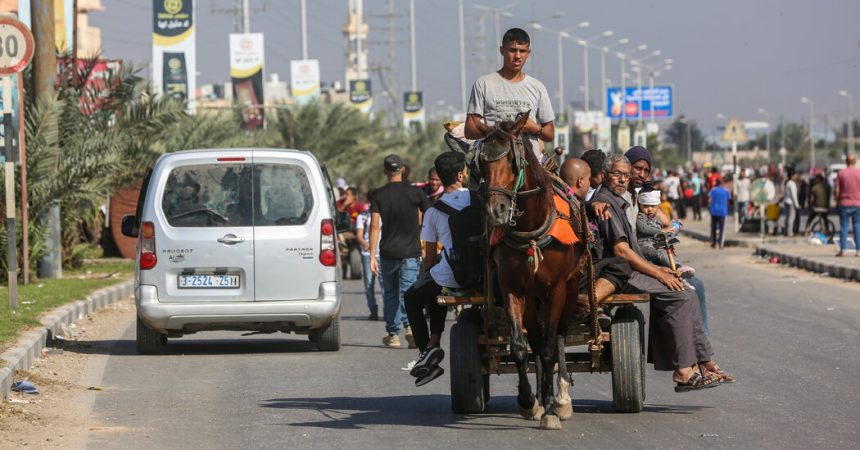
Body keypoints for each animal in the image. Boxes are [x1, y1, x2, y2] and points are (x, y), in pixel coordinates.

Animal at [478, 110, 584, 430]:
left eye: (513, 163)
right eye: (480, 164)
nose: (497, 212)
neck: (532, 232)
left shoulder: (556, 289)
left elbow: (550, 348)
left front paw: (551, 409)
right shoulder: (512, 287)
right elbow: (520, 346)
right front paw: (528, 402)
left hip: (569, 288)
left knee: (557, 336)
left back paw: (560, 399)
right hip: (532, 298)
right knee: (535, 341)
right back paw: (539, 396)